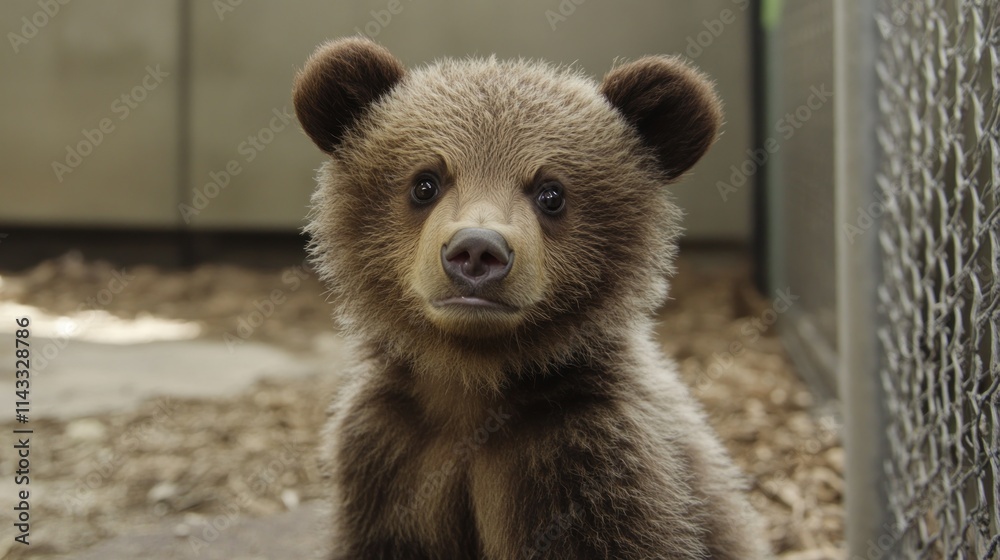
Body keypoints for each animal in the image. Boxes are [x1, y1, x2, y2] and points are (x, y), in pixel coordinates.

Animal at [293, 37, 769, 559]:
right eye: (425, 182)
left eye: (551, 193)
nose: (477, 250)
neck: (472, 386)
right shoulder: (389, 454)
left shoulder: (590, 461)